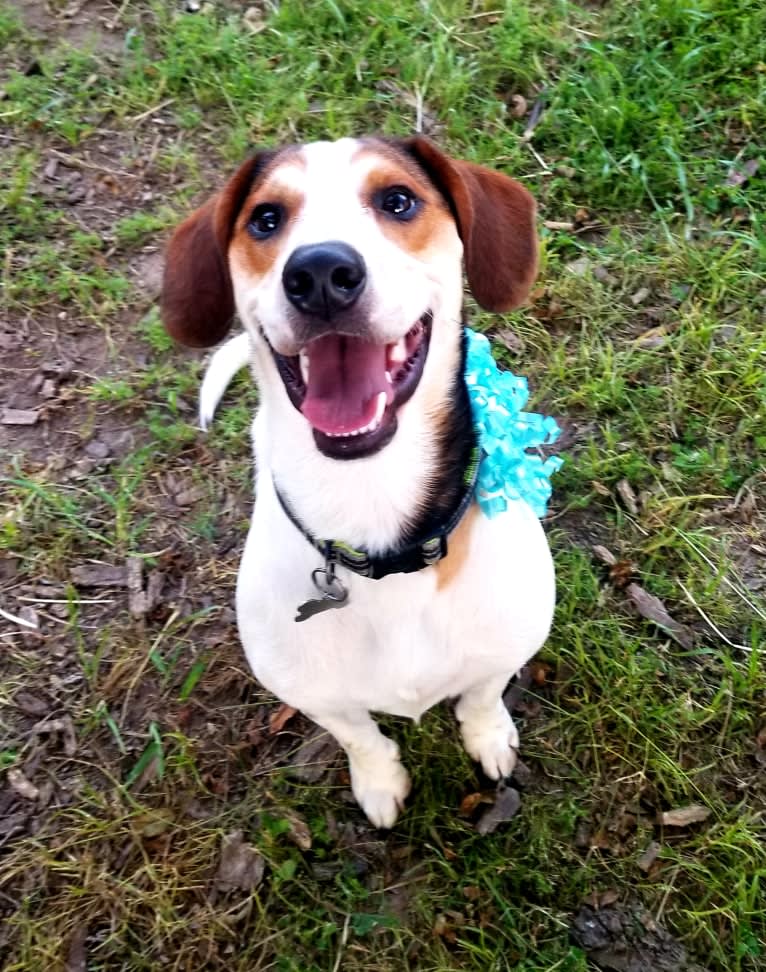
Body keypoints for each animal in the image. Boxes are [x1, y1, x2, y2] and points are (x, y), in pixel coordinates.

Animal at [164, 135, 560, 828]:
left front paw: (488, 739)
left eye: (397, 200)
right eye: (266, 219)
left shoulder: (506, 643)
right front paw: (379, 781)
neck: (372, 502)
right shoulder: (313, 691)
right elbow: (359, 736)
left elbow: (482, 696)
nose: (320, 272)